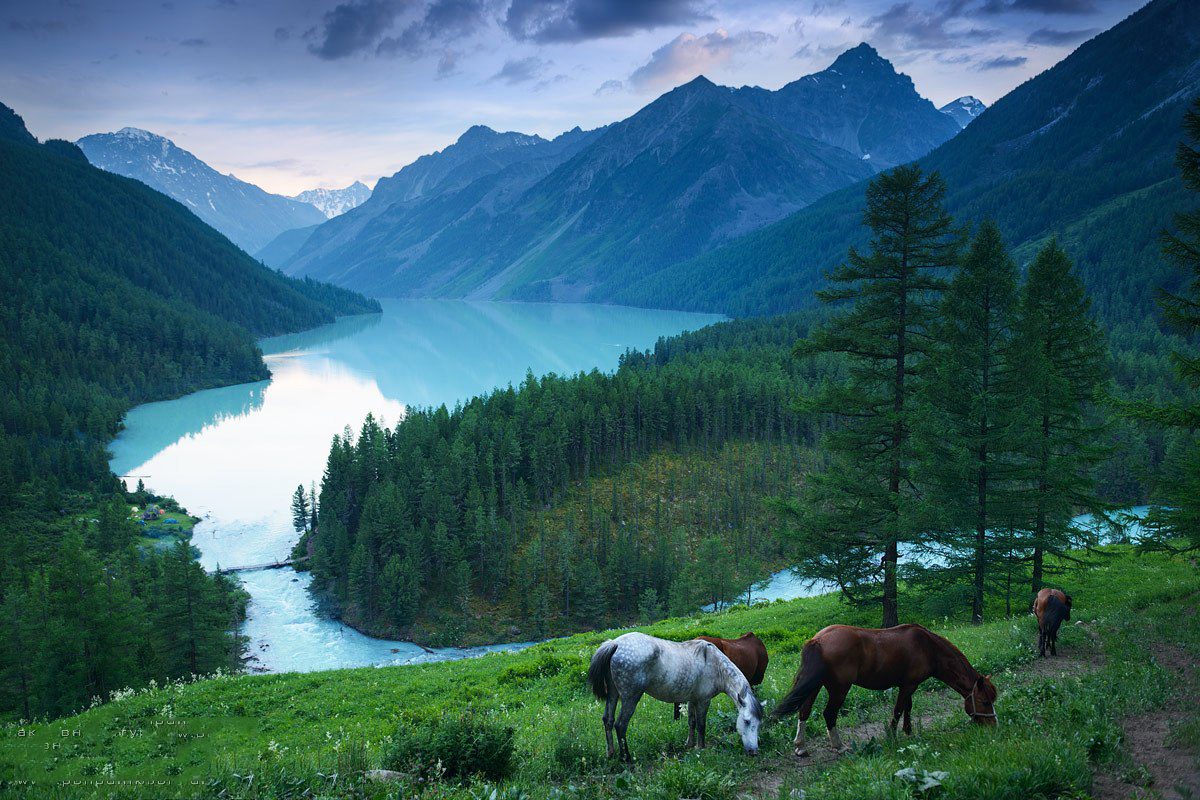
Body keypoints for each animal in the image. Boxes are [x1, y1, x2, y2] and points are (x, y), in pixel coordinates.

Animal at [585, 633, 763, 762]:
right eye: (747, 721)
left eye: (758, 724)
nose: (754, 752)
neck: (715, 664)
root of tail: (615, 643)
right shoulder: (703, 700)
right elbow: (701, 725)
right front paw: (701, 747)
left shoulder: (692, 699)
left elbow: (692, 722)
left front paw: (690, 744)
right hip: (630, 698)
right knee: (620, 725)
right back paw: (626, 758)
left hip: (613, 694)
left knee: (608, 720)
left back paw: (611, 753)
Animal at [772, 623, 998, 758]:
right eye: (985, 702)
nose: (993, 726)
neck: (928, 647)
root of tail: (818, 640)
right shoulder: (909, 685)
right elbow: (899, 709)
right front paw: (893, 735)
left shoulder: (907, 684)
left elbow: (908, 707)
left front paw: (908, 731)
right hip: (839, 689)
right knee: (829, 714)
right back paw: (839, 746)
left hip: (815, 685)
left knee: (804, 711)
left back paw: (800, 746)